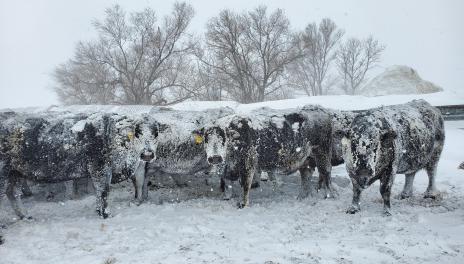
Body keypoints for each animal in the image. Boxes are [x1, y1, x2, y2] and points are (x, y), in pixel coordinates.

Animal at [198, 105, 336, 208]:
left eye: (224, 138)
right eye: (206, 138)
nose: (215, 157)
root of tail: (319, 110)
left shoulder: (248, 163)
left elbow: (245, 184)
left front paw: (243, 204)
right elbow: (227, 182)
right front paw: (227, 197)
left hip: (322, 154)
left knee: (326, 173)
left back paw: (329, 196)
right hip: (306, 159)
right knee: (306, 175)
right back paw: (302, 197)